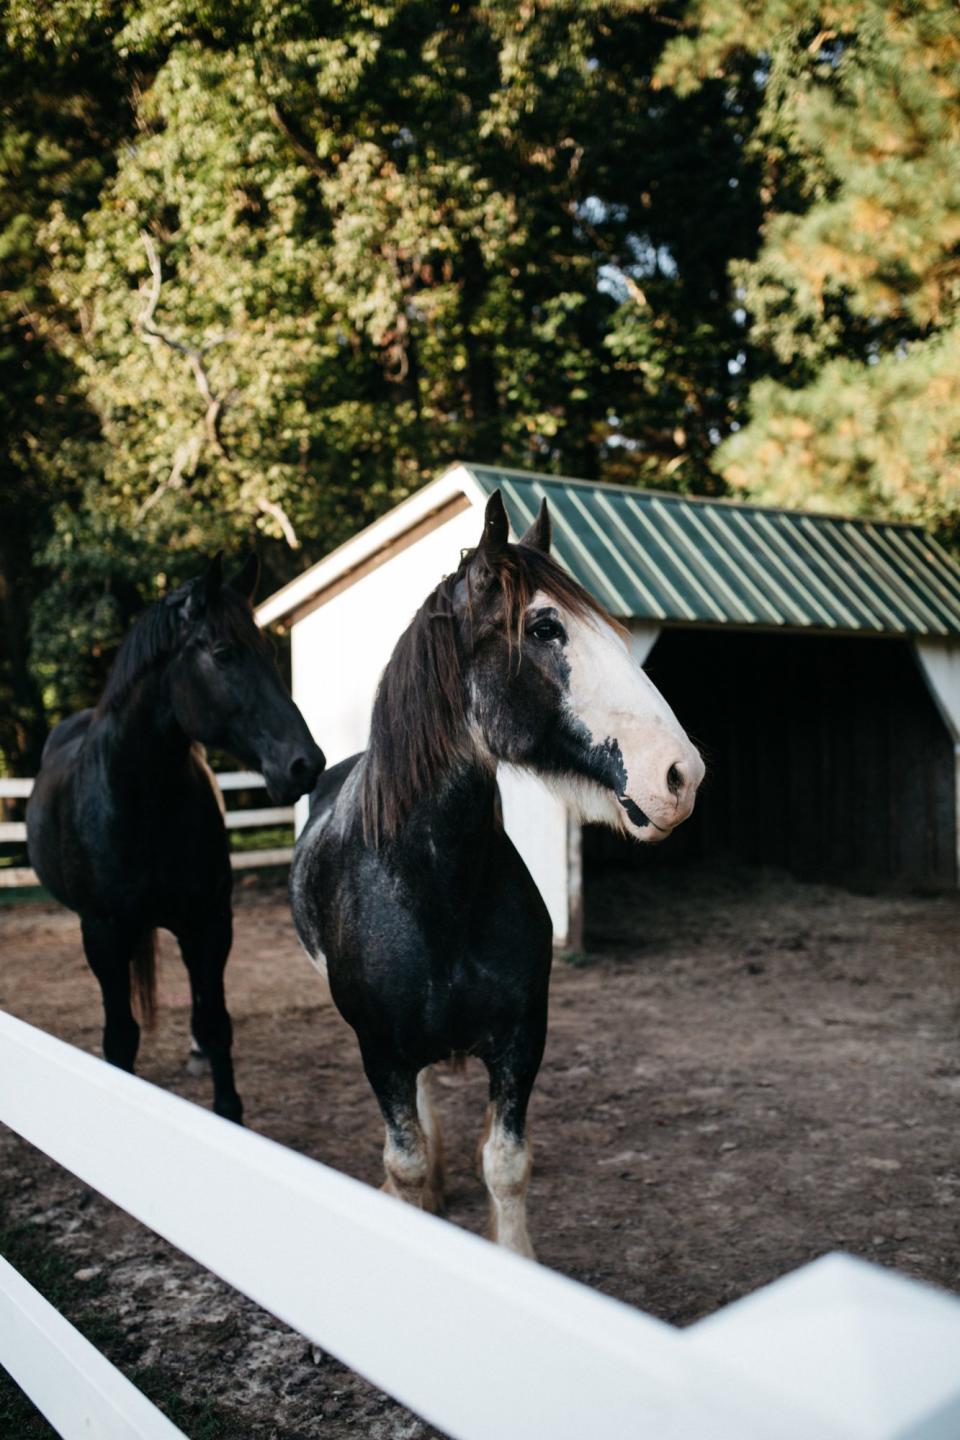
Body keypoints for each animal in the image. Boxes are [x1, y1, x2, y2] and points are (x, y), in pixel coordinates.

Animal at [27, 552, 326, 1123]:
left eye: (270, 653)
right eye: (224, 653)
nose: (305, 764)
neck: (140, 801)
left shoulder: (210, 923)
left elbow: (216, 1024)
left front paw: (227, 1109)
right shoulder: (103, 933)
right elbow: (120, 1037)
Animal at [289, 492, 702, 1249]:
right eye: (544, 627)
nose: (681, 776)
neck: (436, 896)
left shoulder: (520, 1042)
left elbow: (506, 1166)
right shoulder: (380, 1052)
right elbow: (404, 1161)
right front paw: (415, 1190)